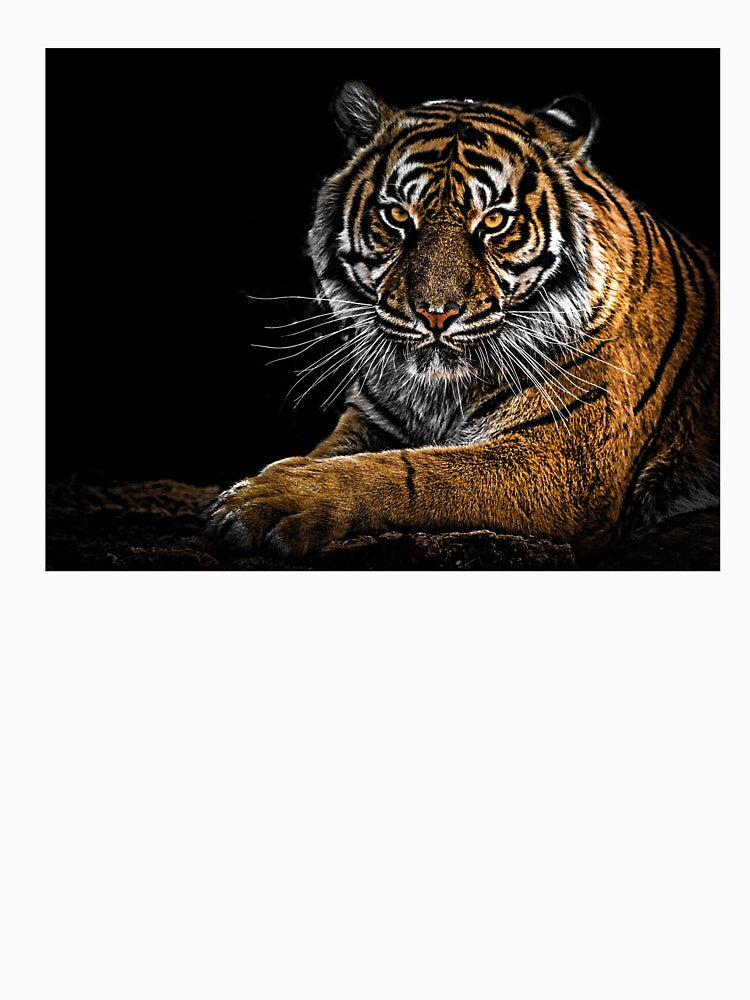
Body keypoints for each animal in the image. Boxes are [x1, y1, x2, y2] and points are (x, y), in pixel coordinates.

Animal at [204, 81, 719, 562]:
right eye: (397, 215)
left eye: (493, 221)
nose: (436, 314)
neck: (438, 393)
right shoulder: (369, 420)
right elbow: (330, 455)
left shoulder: (566, 461)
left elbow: (408, 473)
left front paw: (266, 501)